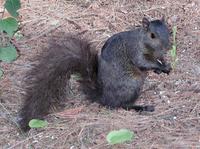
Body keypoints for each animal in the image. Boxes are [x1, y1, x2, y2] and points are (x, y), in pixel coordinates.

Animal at [18, 17, 172, 132]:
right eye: (152, 35)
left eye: (169, 30)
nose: (168, 47)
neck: (144, 42)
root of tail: (102, 97)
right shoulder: (134, 51)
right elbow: (143, 63)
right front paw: (160, 66)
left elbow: (157, 60)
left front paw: (163, 66)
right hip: (132, 84)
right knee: (120, 105)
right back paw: (141, 107)